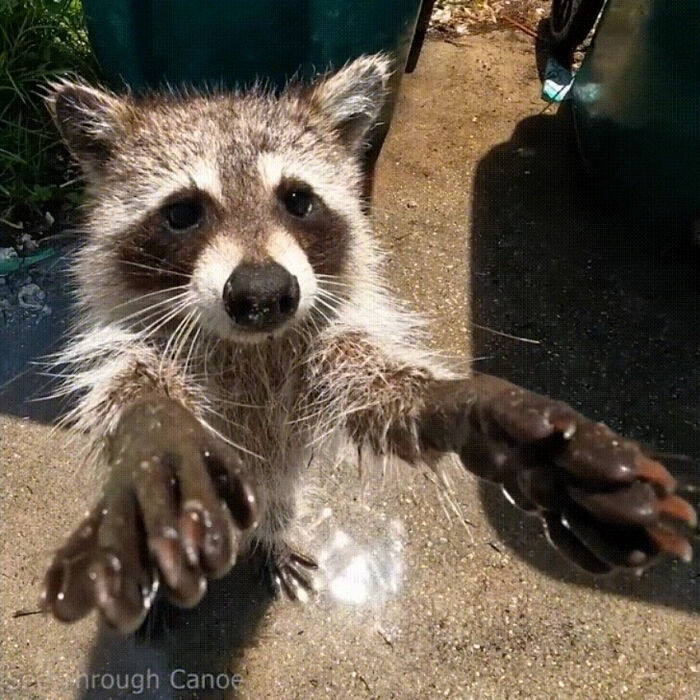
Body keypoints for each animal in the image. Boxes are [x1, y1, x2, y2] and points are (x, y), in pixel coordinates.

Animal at [39, 56, 696, 636]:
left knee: (278, 489)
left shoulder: (319, 351)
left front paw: (459, 404)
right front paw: (158, 433)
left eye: (297, 200)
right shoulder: (141, 343)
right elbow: (130, 391)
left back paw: (275, 532)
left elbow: (375, 396)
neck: (252, 347)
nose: (263, 295)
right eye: (182, 213)